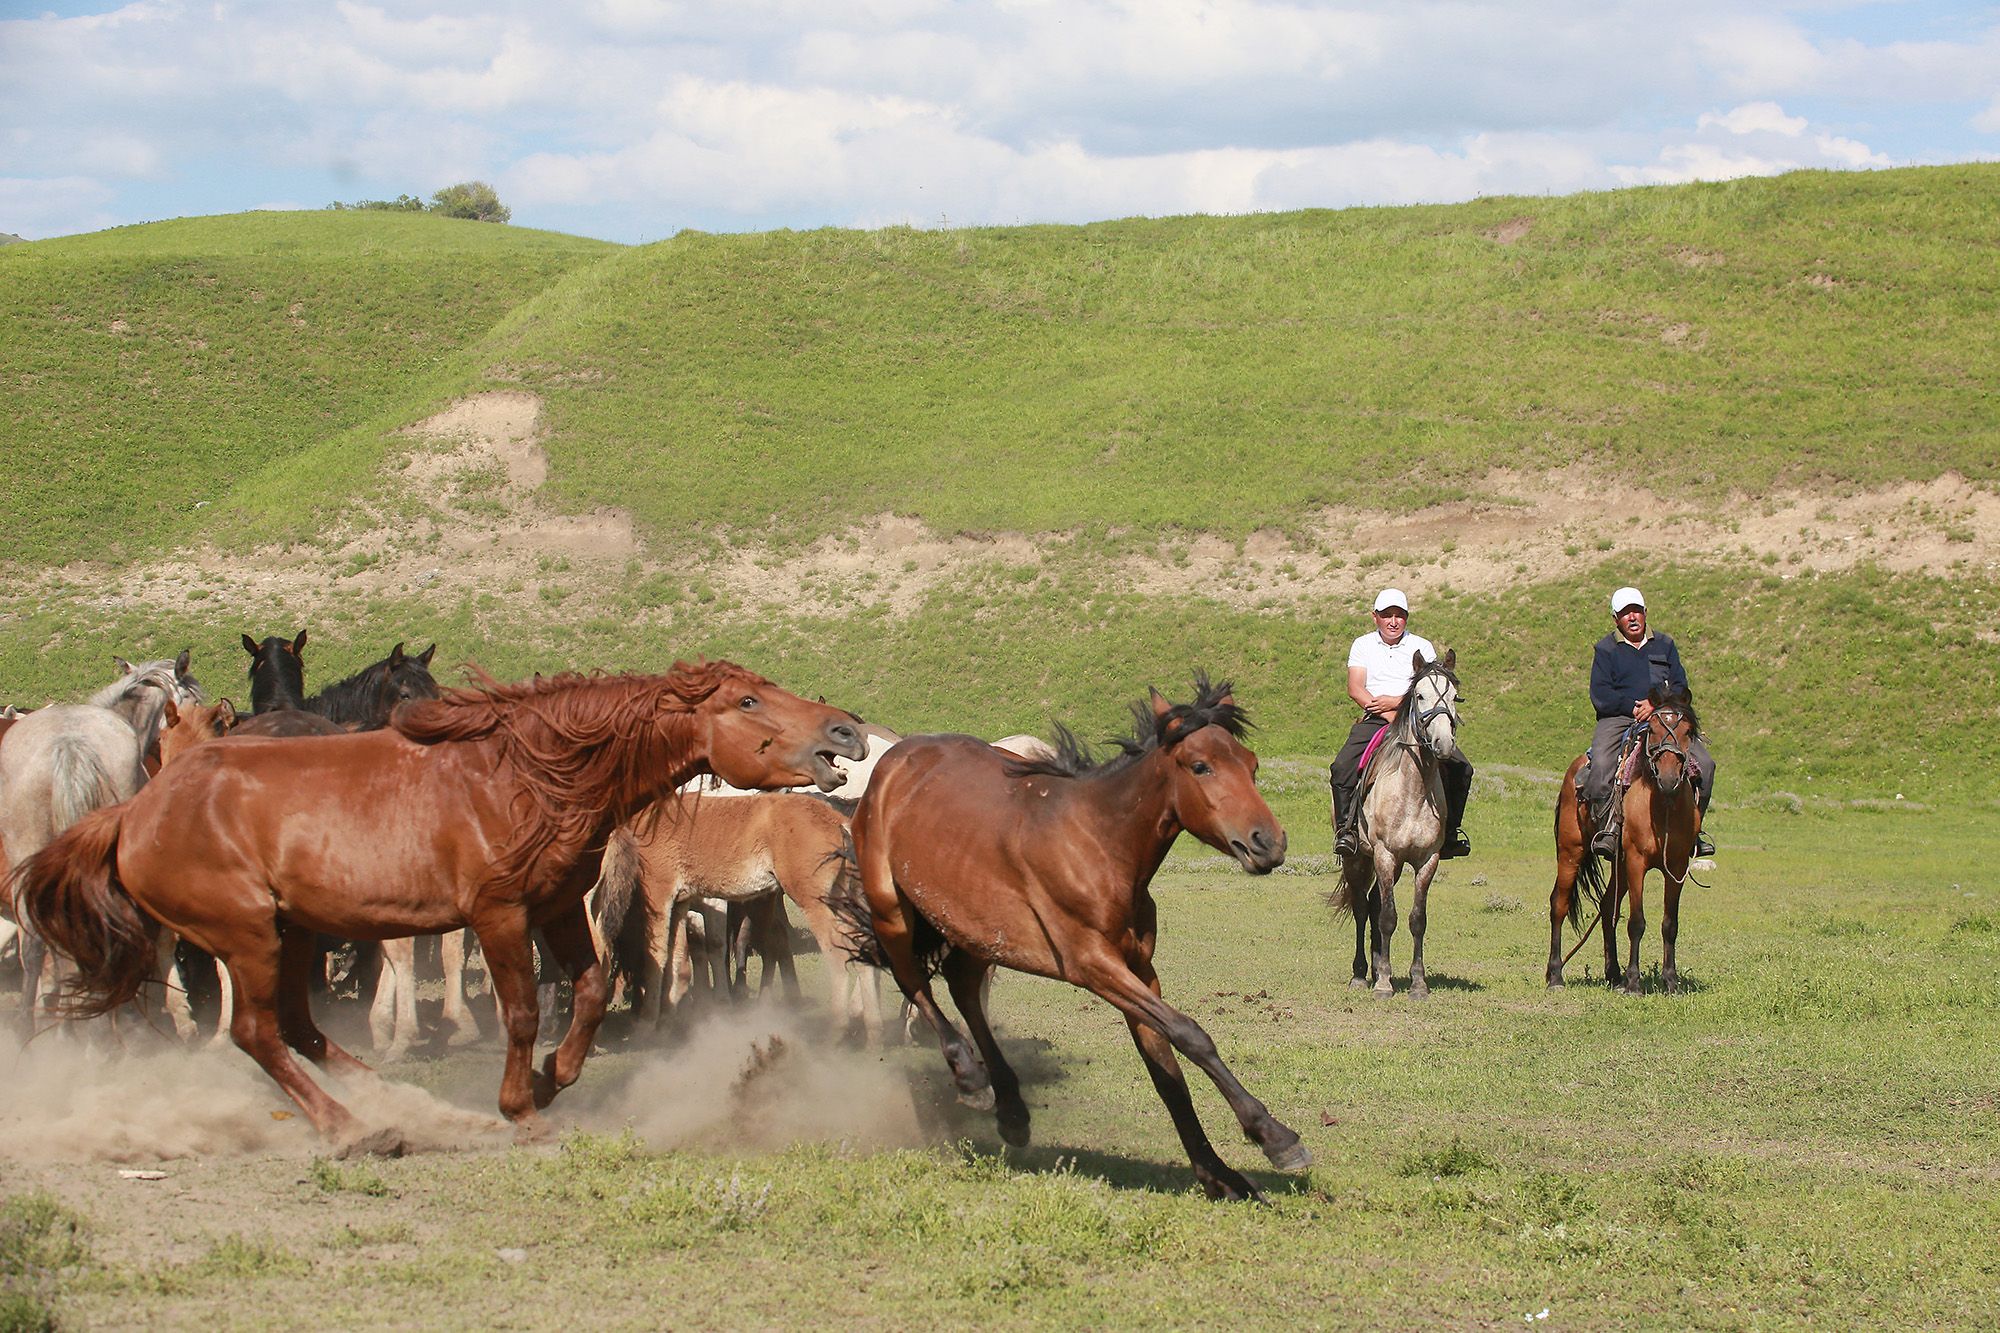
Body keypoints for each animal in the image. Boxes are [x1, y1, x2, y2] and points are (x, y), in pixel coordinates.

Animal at [15, 660, 864, 1144]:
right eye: (748, 700)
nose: (848, 731)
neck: (528, 773)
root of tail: (133, 811)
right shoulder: (498, 914)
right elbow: (520, 1009)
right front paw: (521, 1102)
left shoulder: (558, 906)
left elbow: (591, 989)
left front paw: (554, 1076)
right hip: (248, 931)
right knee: (258, 1032)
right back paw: (348, 1124)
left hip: (293, 931)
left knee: (297, 1024)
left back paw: (384, 1098)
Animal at [848, 668, 1304, 1200]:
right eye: (1200, 766)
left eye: (1251, 765)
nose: (1268, 843)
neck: (1097, 844)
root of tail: (893, 760)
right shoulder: (1092, 964)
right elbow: (1192, 1034)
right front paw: (1274, 1136)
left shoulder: (1139, 970)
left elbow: (1166, 1070)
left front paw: (1218, 1174)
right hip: (891, 908)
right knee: (913, 980)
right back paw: (970, 1079)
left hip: (977, 929)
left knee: (962, 985)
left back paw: (1012, 1111)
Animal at [1544, 684, 1704, 984]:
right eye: (1653, 728)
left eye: (1688, 731)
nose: (1668, 778)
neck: (1662, 807)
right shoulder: (1636, 862)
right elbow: (1636, 922)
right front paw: (1633, 982)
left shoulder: (1676, 867)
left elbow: (1670, 924)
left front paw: (1670, 979)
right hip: (1571, 851)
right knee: (1559, 904)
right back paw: (1556, 974)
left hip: (1618, 863)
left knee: (1608, 908)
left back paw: (1613, 974)